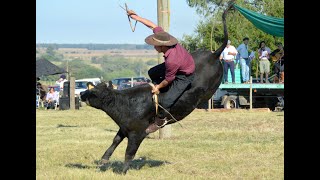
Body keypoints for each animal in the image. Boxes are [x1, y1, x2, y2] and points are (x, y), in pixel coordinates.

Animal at [79, 5, 229, 174]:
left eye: (93, 91)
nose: (82, 93)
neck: (125, 103)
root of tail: (214, 55)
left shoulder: (137, 133)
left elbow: (129, 152)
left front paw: (123, 171)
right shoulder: (124, 128)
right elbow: (115, 140)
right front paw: (104, 159)